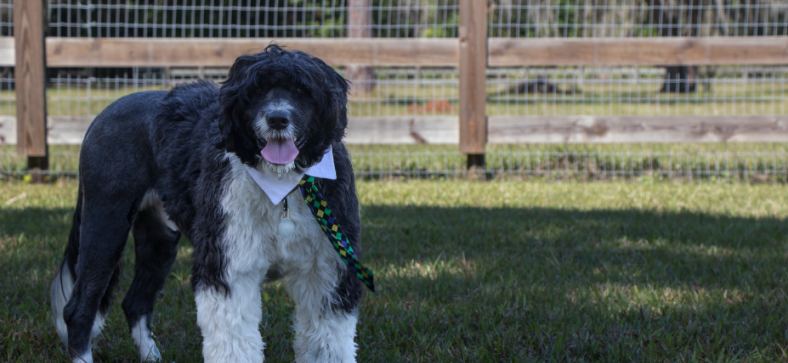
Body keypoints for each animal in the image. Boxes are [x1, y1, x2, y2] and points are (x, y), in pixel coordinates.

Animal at [50, 45, 366, 363]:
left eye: (302, 89)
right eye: (256, 90)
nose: (277, 118)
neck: (283, 184)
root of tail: (103, 113)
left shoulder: (327, 270)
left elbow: (328, 341)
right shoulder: (228, 266)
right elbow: (234, 343)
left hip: (159, 238)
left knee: (135, 302)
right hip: (106, 223)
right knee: (77, 309)